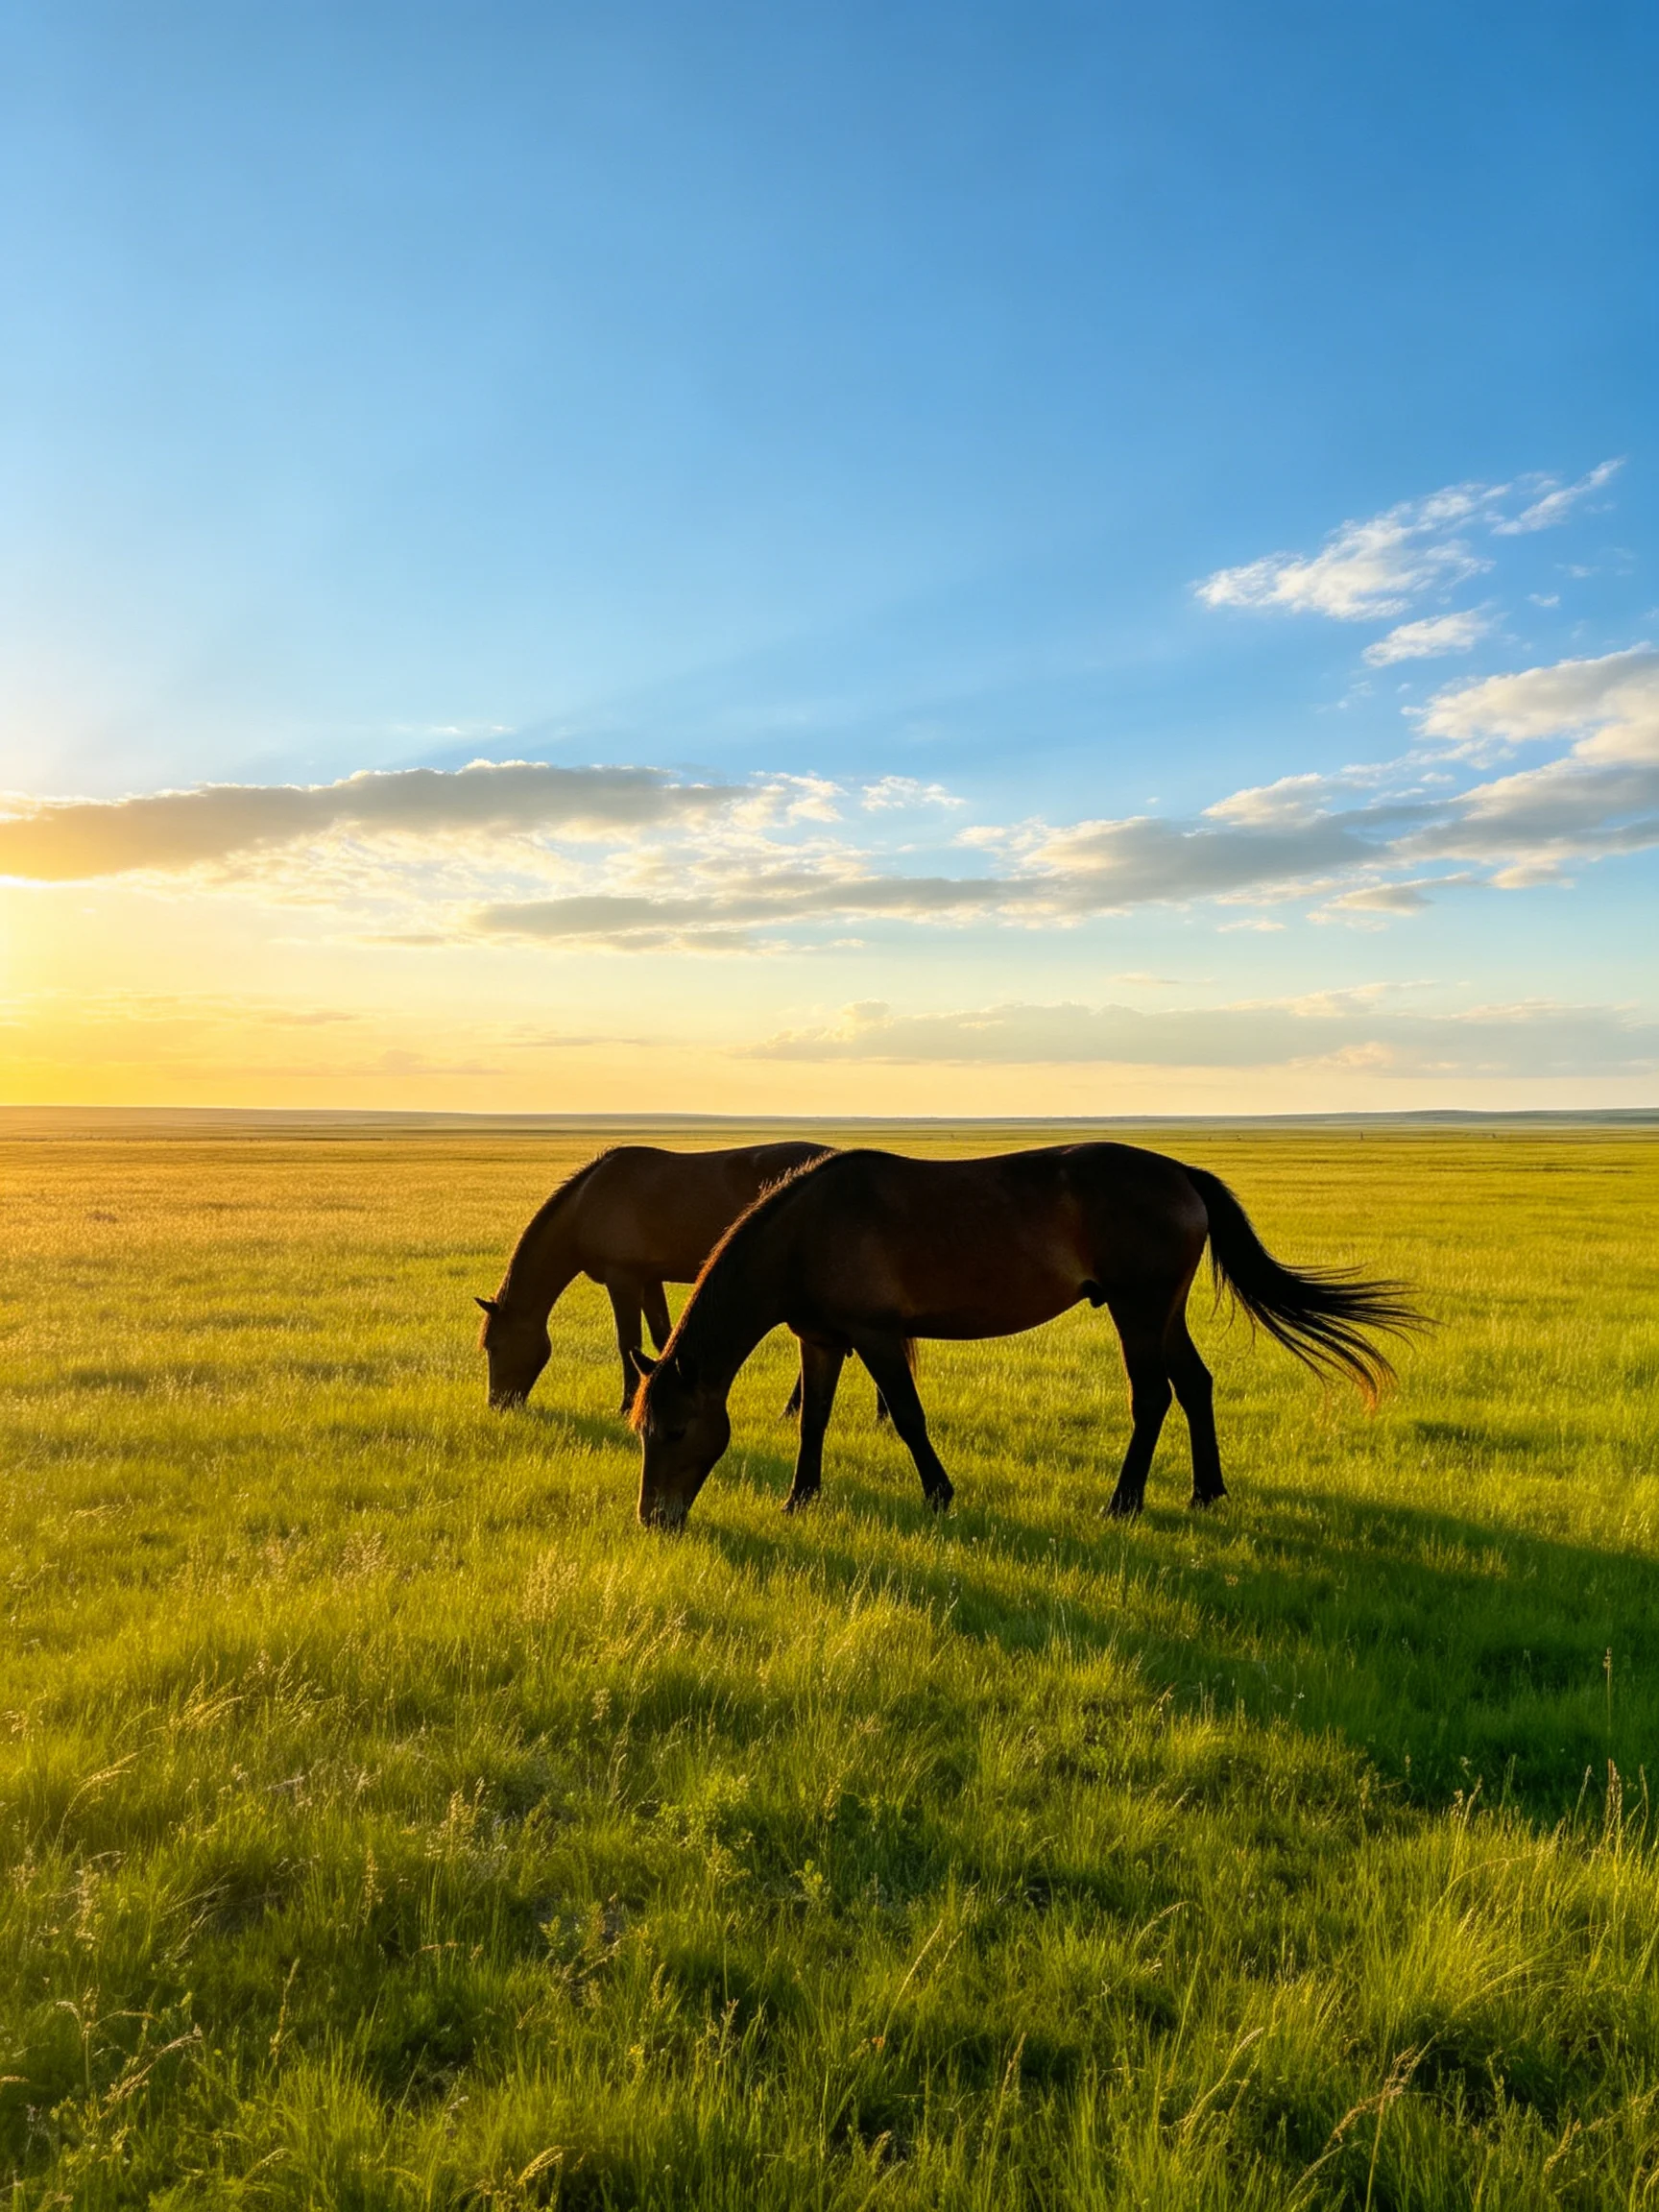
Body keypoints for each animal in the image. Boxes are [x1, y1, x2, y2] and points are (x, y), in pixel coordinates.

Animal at [478, 1141, 830, 1412]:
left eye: (494, 1346)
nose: (497, 1404)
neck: (587, 1204)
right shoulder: (649, 1281)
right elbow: (663, 1337)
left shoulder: (623, 1280)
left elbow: (628, 1342)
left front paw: (626, 1405)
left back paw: (792, 1409)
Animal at [629, 1143, 1421, 1528]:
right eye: (643, 1432)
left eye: (675, 1432)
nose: (654, 1520)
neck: (807, 1227)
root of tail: (1180, 1173)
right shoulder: (822, 1339)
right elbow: (813, 1422)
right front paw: (800, 1499)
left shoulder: (877, 1335)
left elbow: (909, 1417)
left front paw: (940, 1494)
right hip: (1164, 1311)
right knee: (1195, 1385)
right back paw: (1206, 1493)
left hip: (1137, 1309)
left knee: (1153, 1397)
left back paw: (1124, 1503)